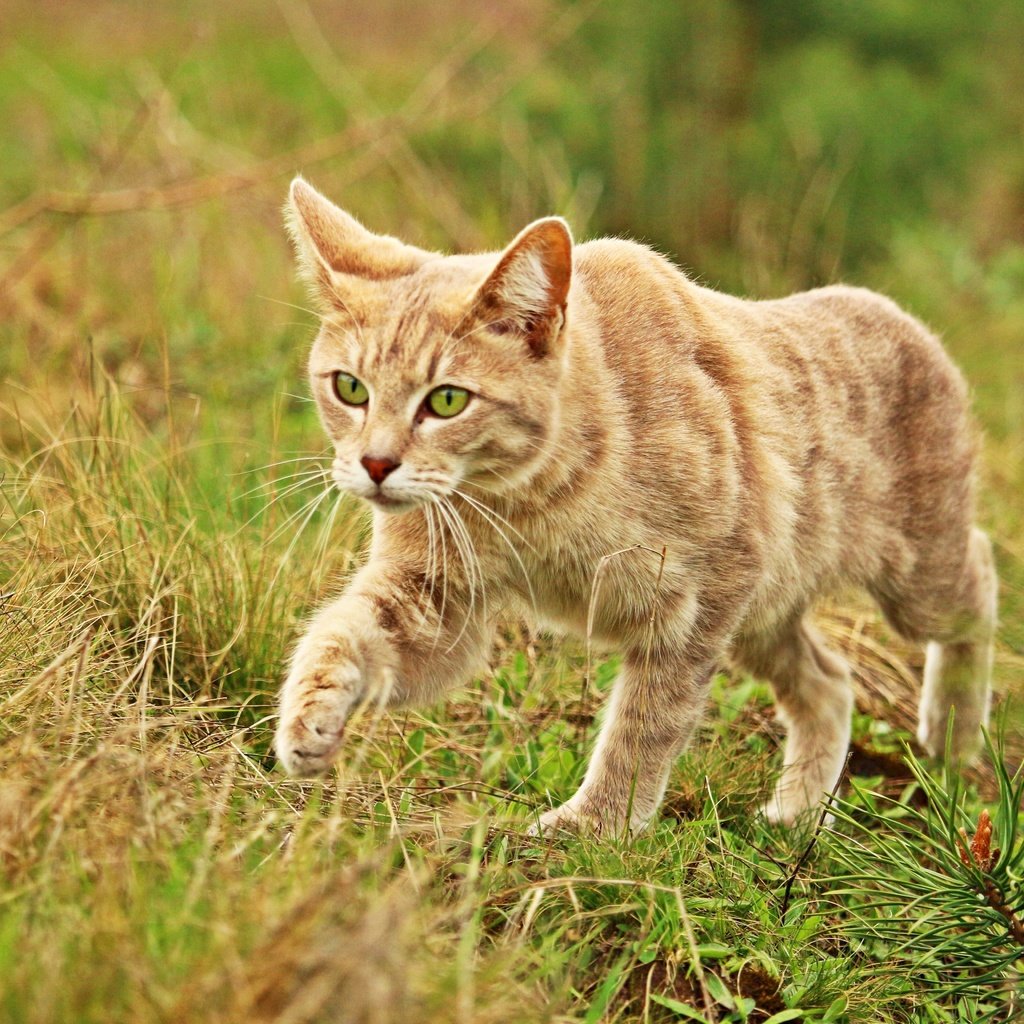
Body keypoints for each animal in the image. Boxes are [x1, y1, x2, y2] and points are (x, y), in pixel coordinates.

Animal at [272, 176, 991, 831]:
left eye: (447, 400)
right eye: (349, 388)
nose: (375, 465)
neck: (529, 506)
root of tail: (901, 317)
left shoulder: (694, 606)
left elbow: (643, 728)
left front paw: (596, 827)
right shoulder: (440, 604)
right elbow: (343, 632)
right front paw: (309, 714)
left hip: (914, 579)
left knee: (978, 580)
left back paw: (952, 737)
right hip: (764, 617)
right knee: (830, 680)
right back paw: (797, 812)